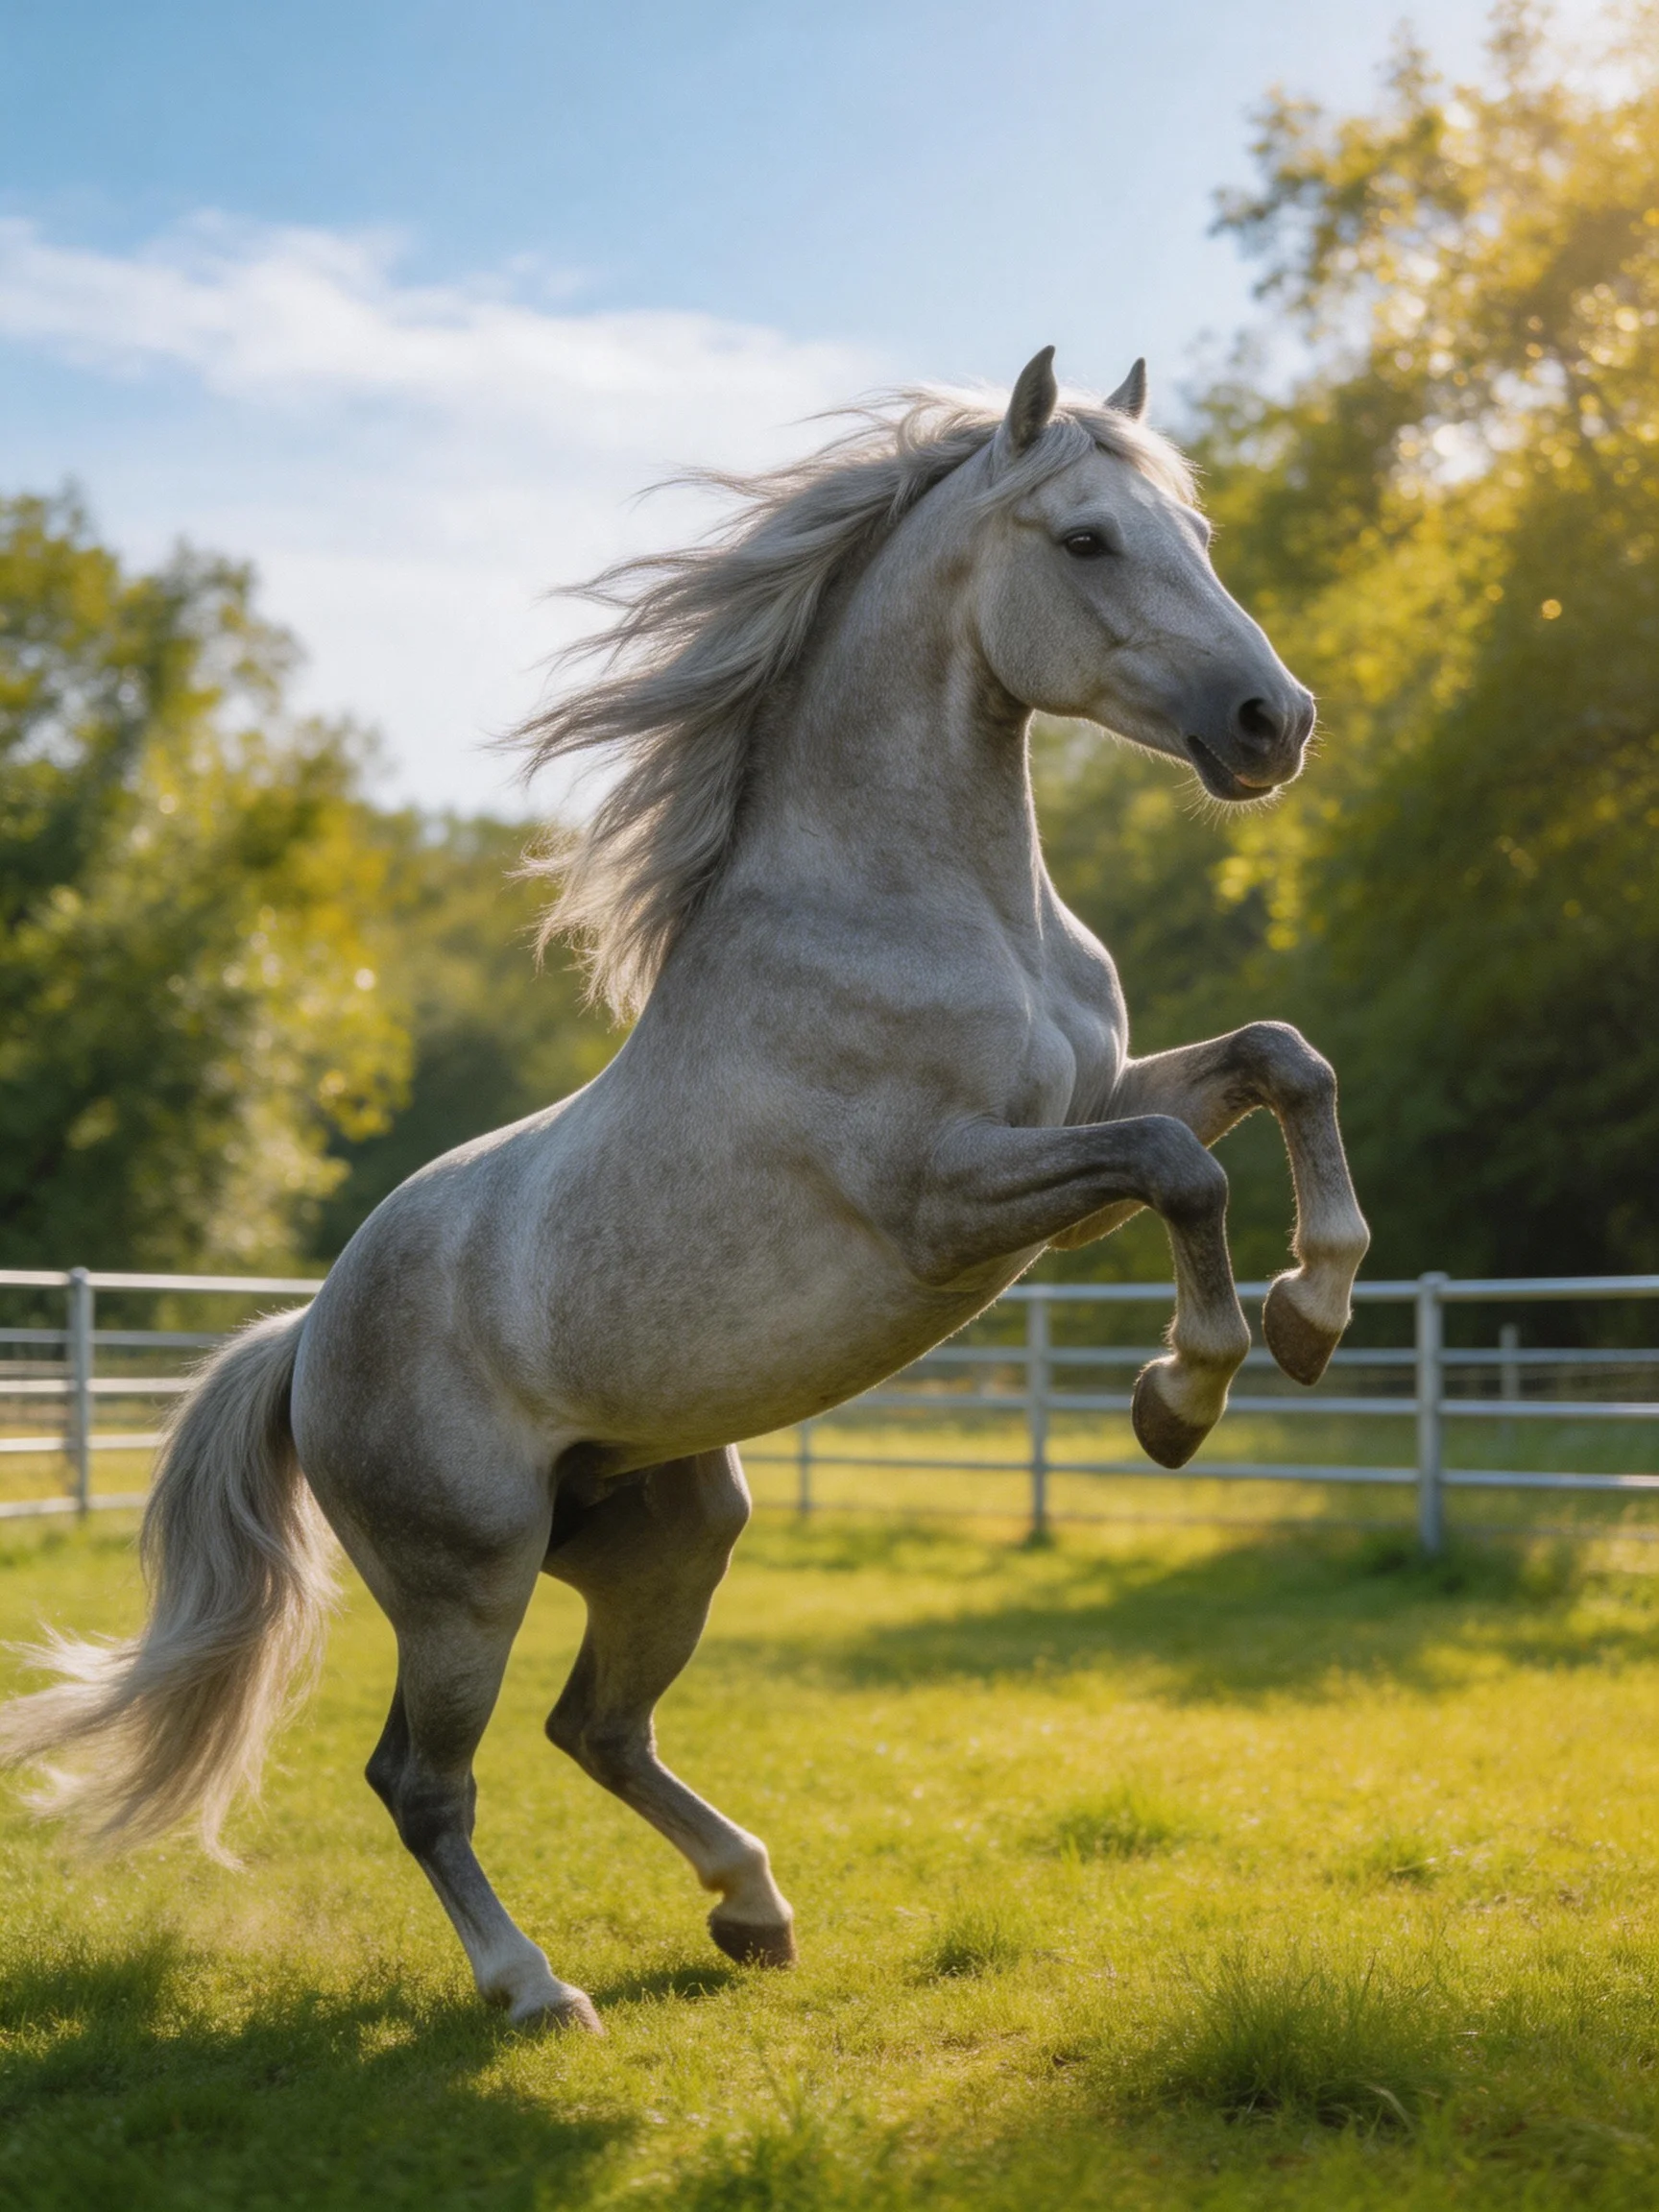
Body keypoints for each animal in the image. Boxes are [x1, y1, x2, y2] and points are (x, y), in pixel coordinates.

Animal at [0, 349, 1369, 2034]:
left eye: (1197, 531)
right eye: (1088, 540)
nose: (1273, 720)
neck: (920, 909)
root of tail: (304, 1335)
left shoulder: (1091, 1120)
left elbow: (1281, 1063)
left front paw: (1314, 1310)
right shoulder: (948, 1203)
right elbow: (1184, 1168)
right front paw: (1185, 1393)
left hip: (674, 1533)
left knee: (594, 1729)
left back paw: (753, 1907)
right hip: (465, 1583)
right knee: (424, 1782)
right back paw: (535, 1990)